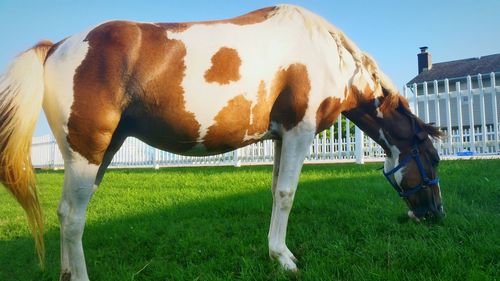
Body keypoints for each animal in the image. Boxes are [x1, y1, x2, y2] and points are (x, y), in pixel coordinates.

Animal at [0, 4, 446, 280]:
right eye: (434, 159)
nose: (436, 215)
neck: (325, 54)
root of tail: (56, 47)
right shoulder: (299, 132)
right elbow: (286, 194)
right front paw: (284, 259)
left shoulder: (281, 136)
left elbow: (274, 191)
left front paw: (276, 251)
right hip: (87, 152)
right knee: (73, 216)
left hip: (100, 153)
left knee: (65, 213)